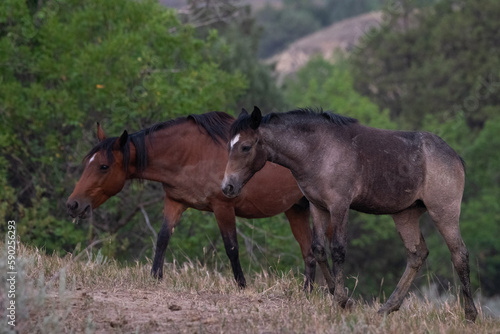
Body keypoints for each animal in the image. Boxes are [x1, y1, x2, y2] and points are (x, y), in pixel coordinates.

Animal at [66, 111, 316, 290]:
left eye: (103, 166)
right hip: (296, 209)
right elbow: (162, 239)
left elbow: (231, 247)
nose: (73, 204)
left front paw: (242, 286)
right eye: (88, 162)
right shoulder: (175, 201)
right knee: (309, 254)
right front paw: (155, 277)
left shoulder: (223, 206)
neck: (190, 154)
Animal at [222, 106, 476, 320]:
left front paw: (342, 300)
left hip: (443, 212)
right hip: (405, 214)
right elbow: (318, 249)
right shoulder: (318, 207)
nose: (227, 187)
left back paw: (470, 314)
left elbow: (338, 250)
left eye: (245, 147)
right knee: (417, 254)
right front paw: (339, 294)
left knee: (459, 254)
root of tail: (454, 156)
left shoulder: (339, 206)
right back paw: (387, 308)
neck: (318, 150)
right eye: (229, 147)